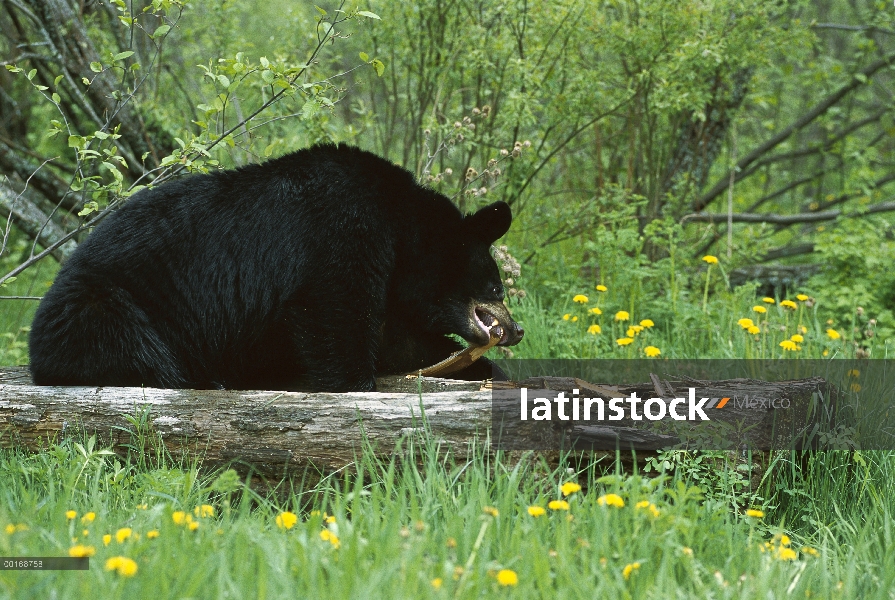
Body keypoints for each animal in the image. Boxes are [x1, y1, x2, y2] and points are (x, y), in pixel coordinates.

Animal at [29, 143, 524, 392]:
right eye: (496, 287)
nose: (517, 330)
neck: (399, 224)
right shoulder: (342, 230)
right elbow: (335, 314)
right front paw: (357, 382)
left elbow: (399, 338)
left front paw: (482, 369)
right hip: (100, 304)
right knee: (131, 344)